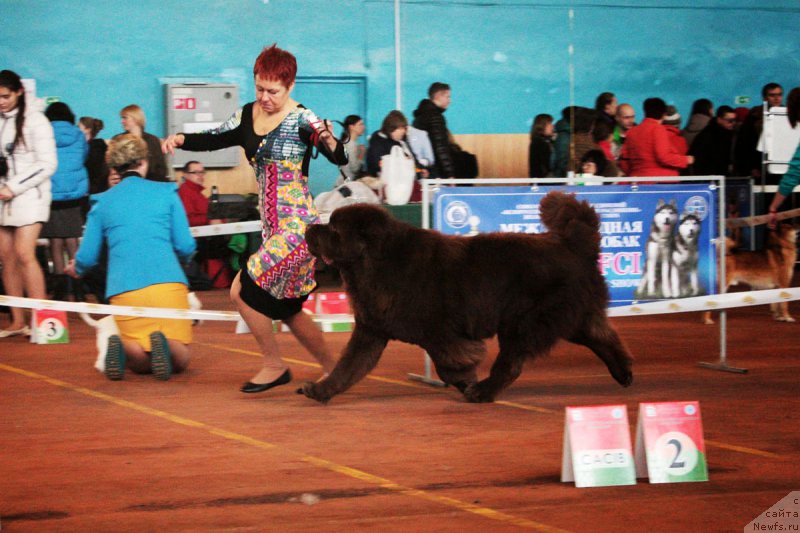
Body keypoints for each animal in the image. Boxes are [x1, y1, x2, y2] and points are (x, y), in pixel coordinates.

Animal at [300, 191, 632, 404]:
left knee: (511, 363)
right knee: (603, 338)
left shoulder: (440, 333)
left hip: (524, 322)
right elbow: (347, 367)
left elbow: (449, 363)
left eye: (333, 229)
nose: (309, 227)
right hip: (569, 318)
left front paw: (465, 380)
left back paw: (482, 392)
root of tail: (573, 245)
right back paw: (624, 373)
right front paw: (320, 390)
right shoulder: (371, 331)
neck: (375, 262)